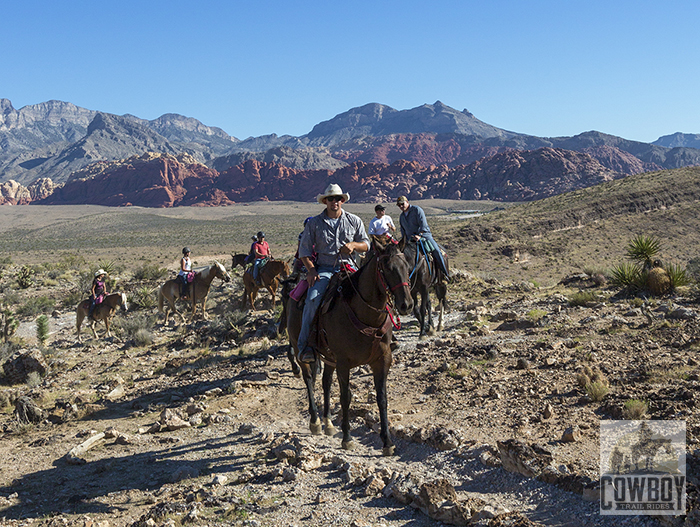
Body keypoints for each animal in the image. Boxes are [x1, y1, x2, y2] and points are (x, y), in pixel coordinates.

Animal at [284, 240, 412, 458]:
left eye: (407, 266)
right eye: (387, 268)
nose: (407, 304)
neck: (366, 316)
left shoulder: (382, 360)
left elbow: (382, 398)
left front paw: (387, 442)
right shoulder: (344, 363)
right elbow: (346, 398)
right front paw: (347, 438)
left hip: (329, 357)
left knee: (326, 382)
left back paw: (328, 423)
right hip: (302, 350)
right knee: (309, 379)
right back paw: (316, 421)